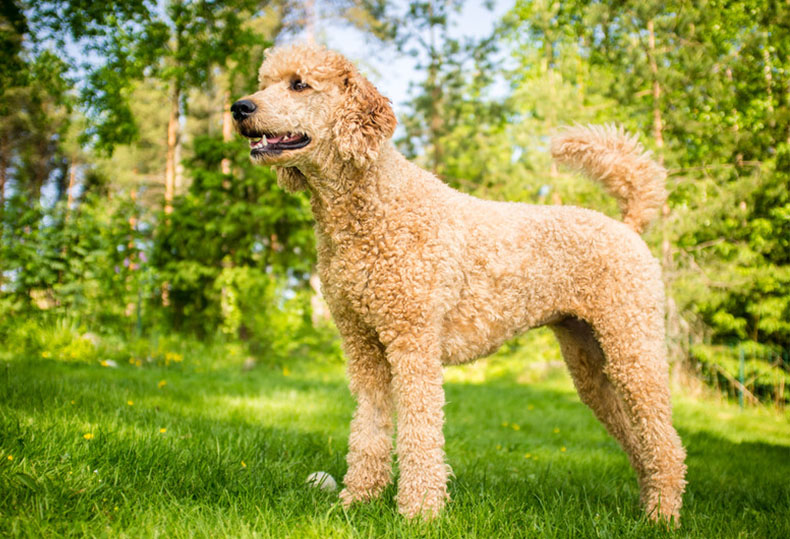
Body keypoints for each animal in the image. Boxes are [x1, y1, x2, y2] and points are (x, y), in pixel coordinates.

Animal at [232, 43, 688, 528]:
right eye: (264, 82)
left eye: (299, 84)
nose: (240, 108)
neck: (375, 205)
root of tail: (628, 226)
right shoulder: (363, 347)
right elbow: (369, 430)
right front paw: (358, 501)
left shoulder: (413, 343)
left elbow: (418, 432)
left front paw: (419, 512)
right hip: (590, 363)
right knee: (638, 438)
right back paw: (649, 505)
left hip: (633, 347)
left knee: (665, 441)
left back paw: (662, 515)